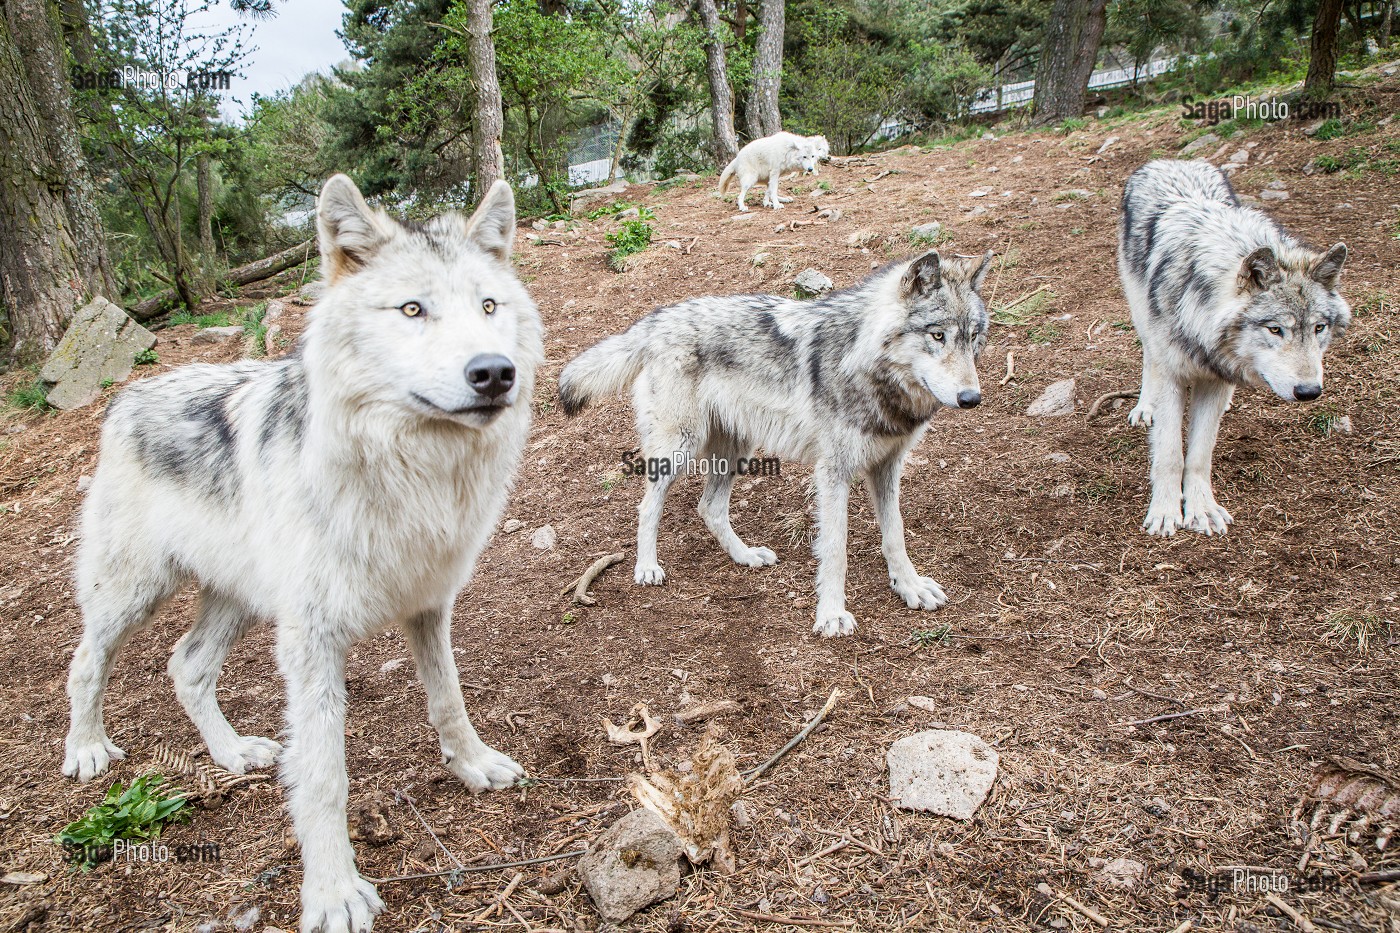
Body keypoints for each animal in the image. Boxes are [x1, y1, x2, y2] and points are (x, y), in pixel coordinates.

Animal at [63, 174, 540, 930]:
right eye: (413, 309)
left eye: (489, 306)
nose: (495, 372)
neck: (410, 473)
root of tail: (124, 396)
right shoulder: (312, 642)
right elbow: (323, 777)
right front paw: (334, 892)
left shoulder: (428, 606)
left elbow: (450, 700)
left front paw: (473, 765)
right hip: (135, 594)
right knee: (85, 661)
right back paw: (84, 748)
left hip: (237, 601)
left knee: (185, 666)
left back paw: (233, 752)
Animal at [551, 250, 991, 636]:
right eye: (938, 335)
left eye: (973, 338)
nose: (972, 398)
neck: (868, 365)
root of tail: (655, 319)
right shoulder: (833, 473)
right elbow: (836, 549)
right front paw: (832, 615)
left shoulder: (887, 467)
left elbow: (895, 535)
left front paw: (910, 587)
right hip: (680, 448)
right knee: (647, 506)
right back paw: (646, 567)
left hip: (736, 452)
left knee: (709, 507)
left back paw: (745, 556)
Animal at [1114, 161, 1344, 537]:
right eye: (1275, 329)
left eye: (1318, 328)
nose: (1310, 392)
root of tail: (1170, 161)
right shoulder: (1173, 374)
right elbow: (1170, 454)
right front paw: (1165, 511)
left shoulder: (1215, 376)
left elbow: (1198, 455)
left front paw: (1201, 510)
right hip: (1140, 311)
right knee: (1150, 357)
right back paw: (1145, 406)